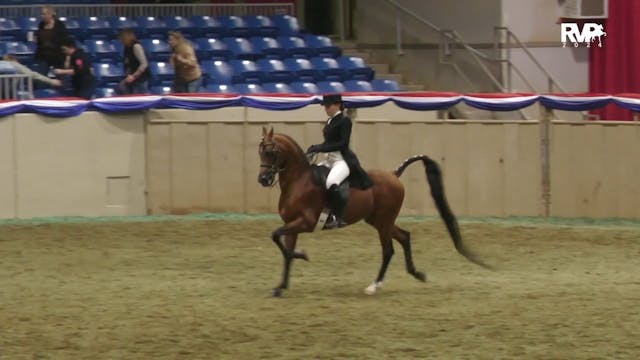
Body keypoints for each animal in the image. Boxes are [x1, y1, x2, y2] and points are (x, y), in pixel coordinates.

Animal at [258, 128, 488, 296]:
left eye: (271, 152)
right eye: (260, 151)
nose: (263, 179)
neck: (299, 182)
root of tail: (394, 174)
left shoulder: (305, 222)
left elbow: (276, 237)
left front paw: (301, 255)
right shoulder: (292, 224)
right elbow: (284, 250)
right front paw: (281, 286)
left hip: (383, 222)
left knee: (388, 250)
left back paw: (374, 286)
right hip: (379, 220)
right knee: (404, 236)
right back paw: (417, 274)